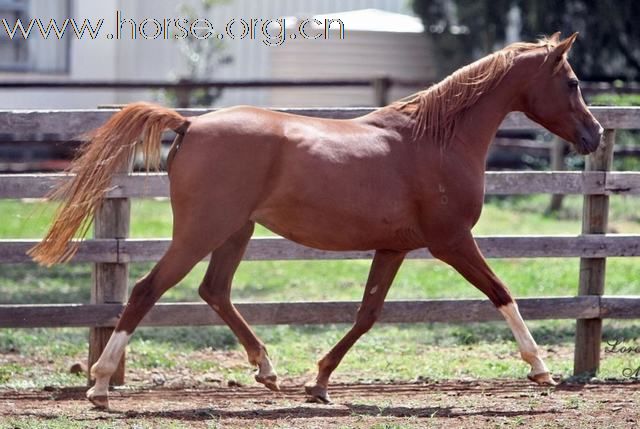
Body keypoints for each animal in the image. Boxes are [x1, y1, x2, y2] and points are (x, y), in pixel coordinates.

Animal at [28, 31, 600, 406]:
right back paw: (101, 385)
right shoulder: (451, 241)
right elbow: (502, 293)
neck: (434, 141)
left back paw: (267, 372)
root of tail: (189, 125)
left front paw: (319, 381)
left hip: (235, 231)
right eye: (572, 81)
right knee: (149, 289)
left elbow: (367, 314)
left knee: (215, 291)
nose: (593, 135)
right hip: (202, 231)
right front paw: (541, 369)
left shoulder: (394, 247)